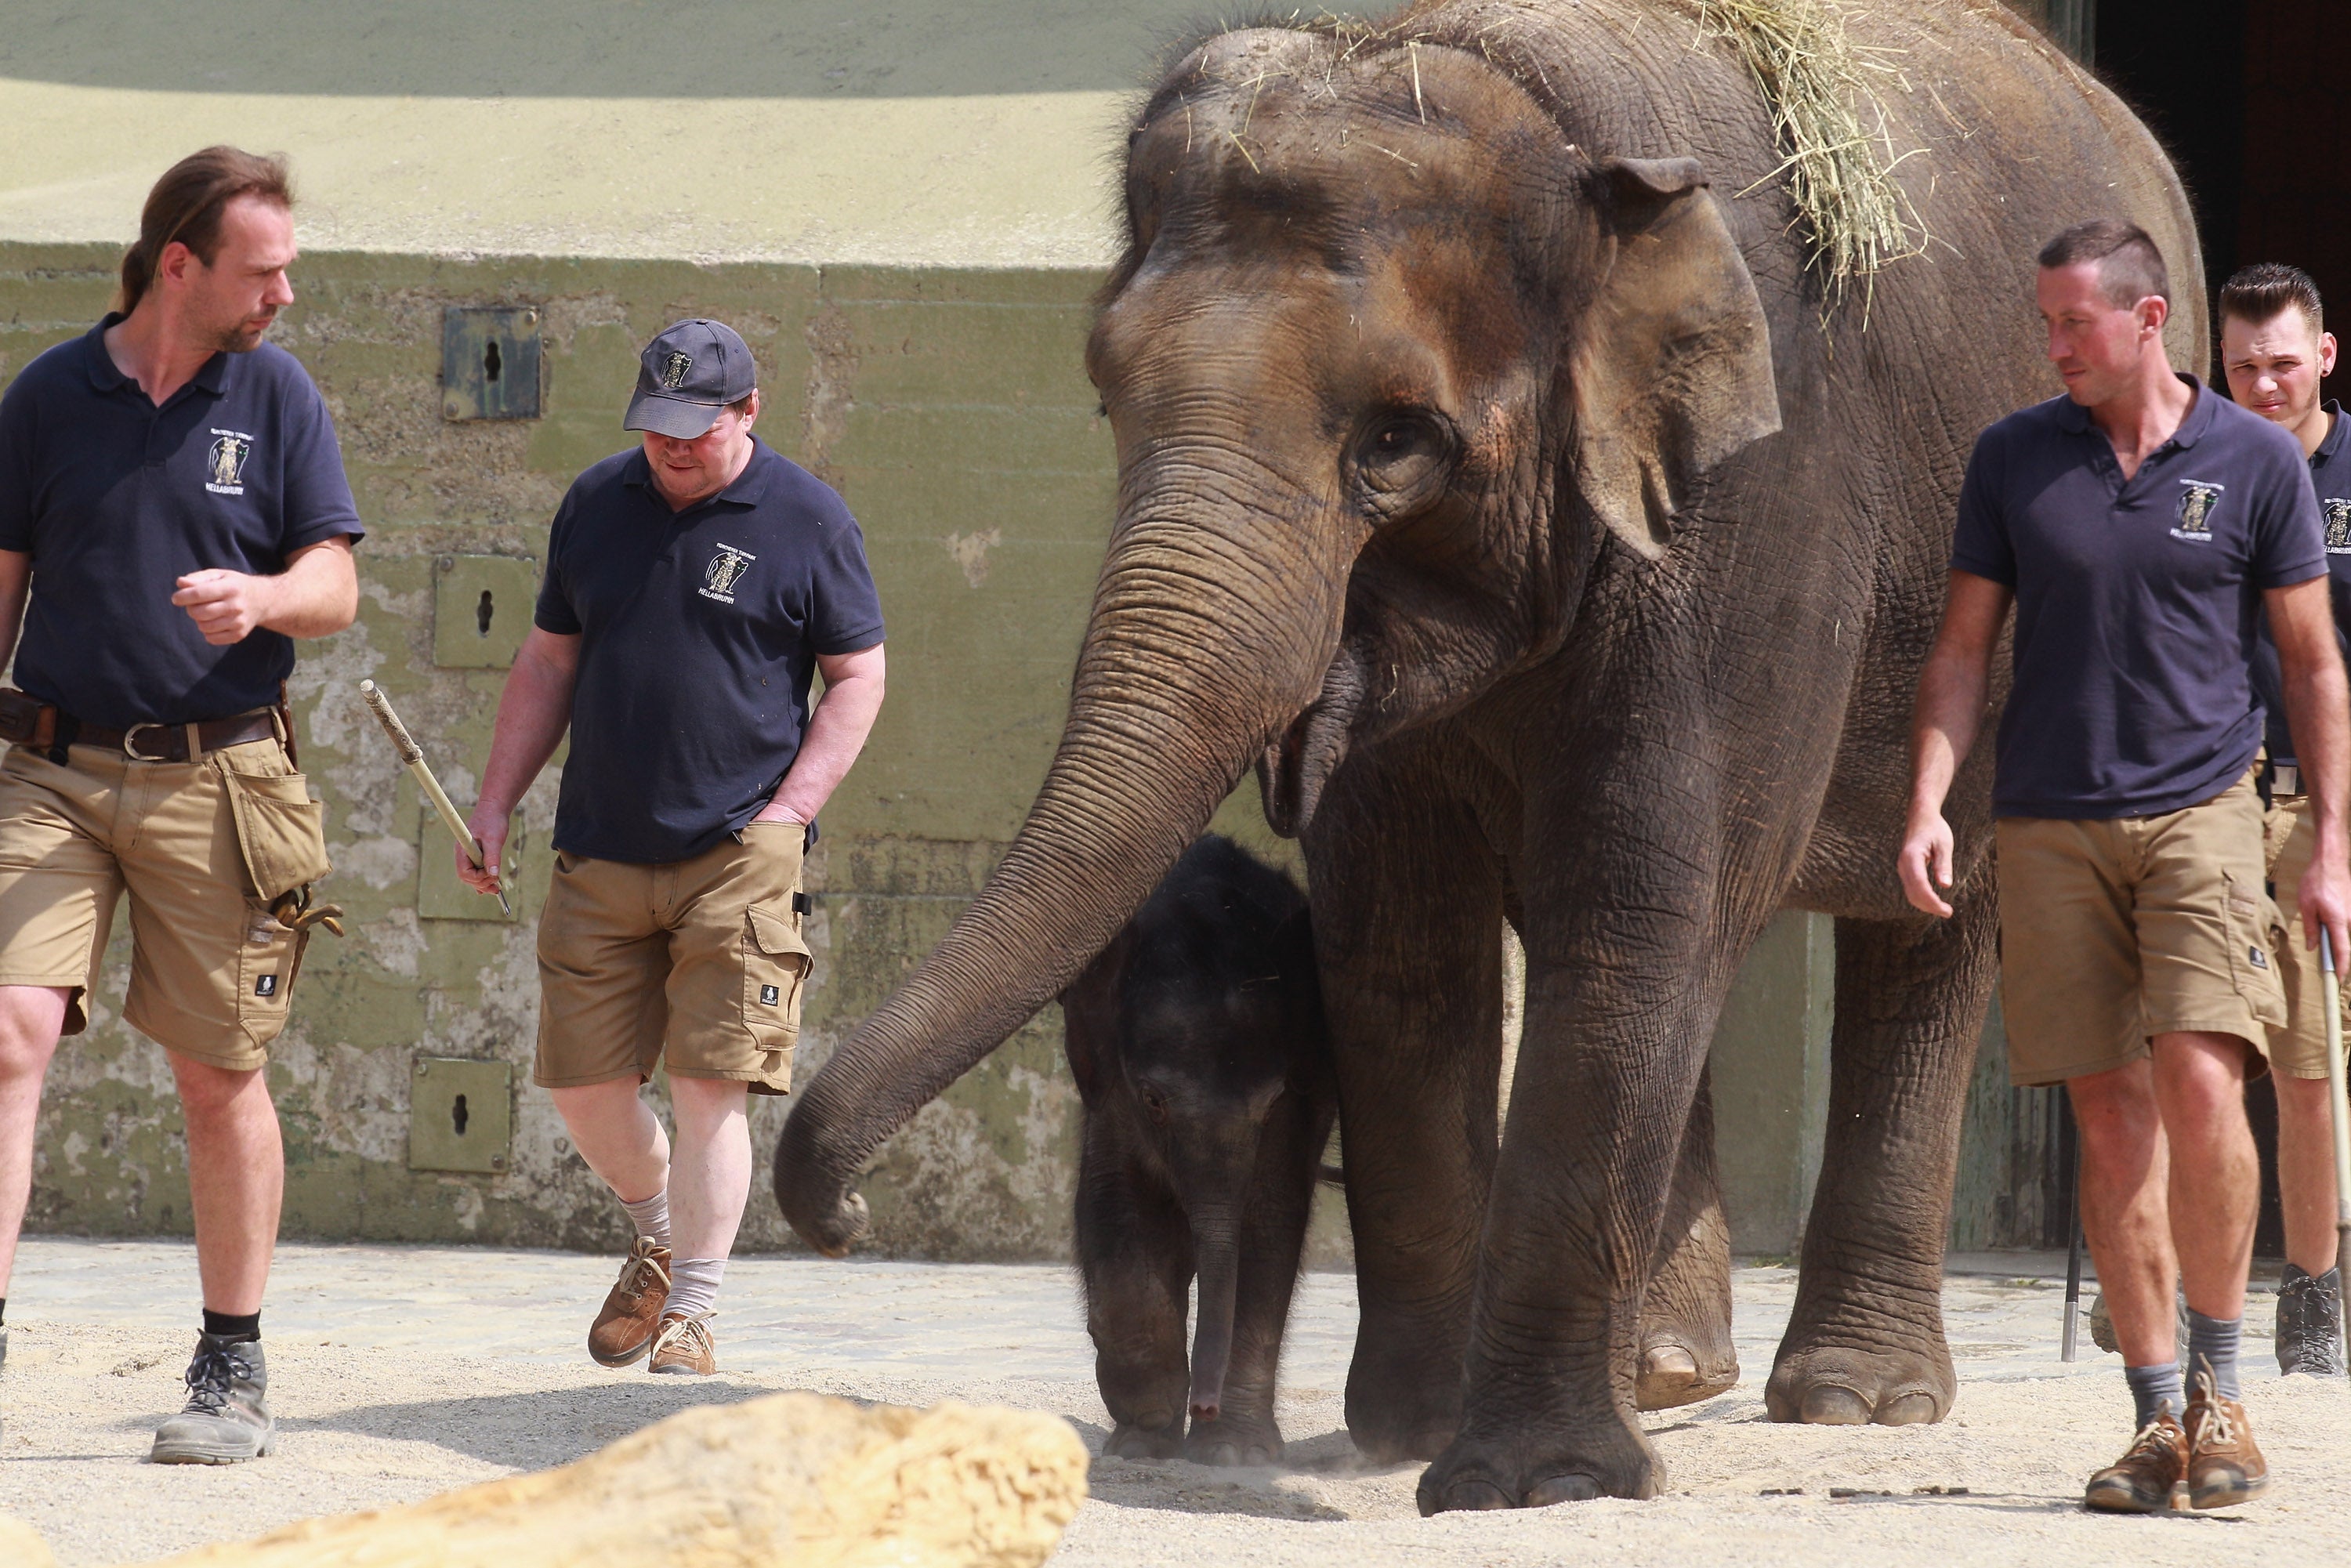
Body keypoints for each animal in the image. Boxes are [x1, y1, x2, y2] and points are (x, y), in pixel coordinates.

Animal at [1058, 835, 1336, 1466]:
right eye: (1154, 1099)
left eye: (1270, 1102)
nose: (1202, 1407)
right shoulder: (1112, 1099)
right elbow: (1118, 1211)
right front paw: (1143, 1439)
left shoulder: (1299, 1099)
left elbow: (1269, 1226)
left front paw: (1233, 1454)